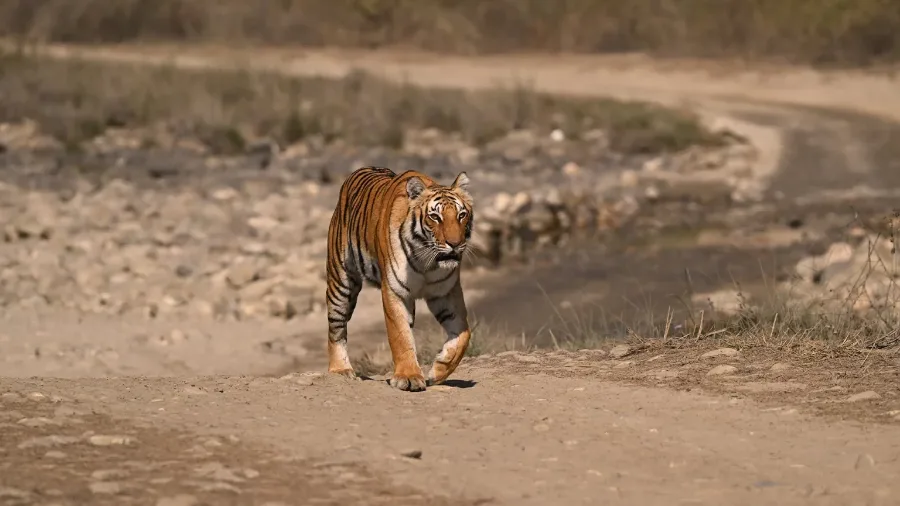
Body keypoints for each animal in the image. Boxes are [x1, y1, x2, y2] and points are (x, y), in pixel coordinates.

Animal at [325, 166, 474, 392]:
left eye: (461, 215)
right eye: (435, 217)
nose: (455, 244)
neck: (427, 262)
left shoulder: (446, 293)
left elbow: (463, 335)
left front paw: (439, 369)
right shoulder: (395, 292)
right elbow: (400, 336)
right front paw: (409, 377)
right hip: (341, 283)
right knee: (336, 328)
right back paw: (340, 370)